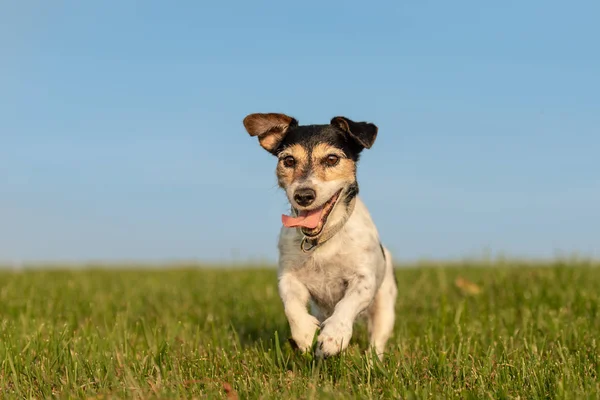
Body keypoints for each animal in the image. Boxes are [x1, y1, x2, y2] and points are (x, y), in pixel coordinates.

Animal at [241, 112, 396, 360]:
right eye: (288, 161)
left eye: (332, 159)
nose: (303, 195)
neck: (322, 241)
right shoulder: (288, 277)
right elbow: (290, 304)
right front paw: (304, 334)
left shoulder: (364, 280)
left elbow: (347, 304)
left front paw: (334, 336)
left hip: (385, 306)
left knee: (376, 343)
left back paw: (372, 362)